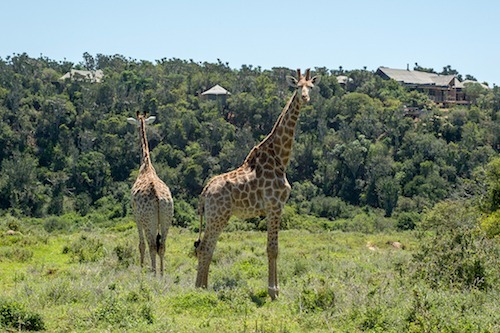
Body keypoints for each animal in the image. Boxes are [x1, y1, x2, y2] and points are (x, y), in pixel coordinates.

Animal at [127, 111, 174, 274]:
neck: (146, 165)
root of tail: (159, 199)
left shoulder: (136, 216)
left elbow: (141, 244)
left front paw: (141, 268)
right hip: (167, 218)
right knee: (163, 246)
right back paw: (161, 274)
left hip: (149, 220)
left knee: (152, 245)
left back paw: (153, 273)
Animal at [194, 67, 320, 298]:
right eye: (297, 87)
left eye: (311, 86)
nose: (305, 98)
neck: (280, 158)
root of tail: (204, 191)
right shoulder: (274, 206)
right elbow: (273, 249)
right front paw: (273, 291)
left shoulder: (276, 208)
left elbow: (275, 248)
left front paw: (275, 288)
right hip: (219, 216)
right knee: (206, 246)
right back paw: (200, 290)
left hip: (213, 216)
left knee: (206, 246)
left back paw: (203, 287)